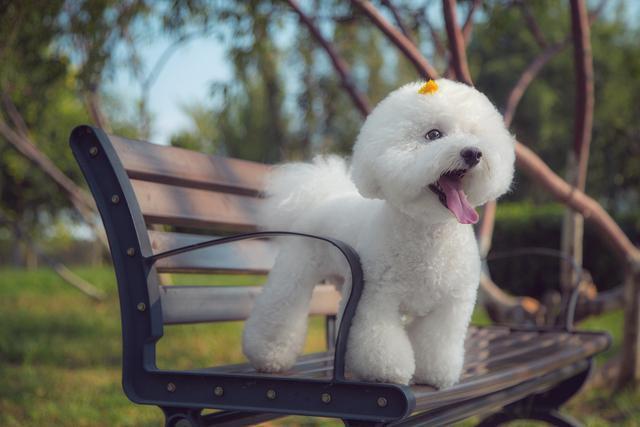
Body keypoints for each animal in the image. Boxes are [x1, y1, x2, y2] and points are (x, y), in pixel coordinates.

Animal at [240, 79, 516, 388]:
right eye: (433, 134)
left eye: (473, 134)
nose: (473, 152)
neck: (429, 234)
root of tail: (322, 196)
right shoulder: (375, 297)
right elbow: (379, 341)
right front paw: (386, 372)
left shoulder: (450, 305)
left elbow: (436, 342)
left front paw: (433, 374)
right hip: (296, 270)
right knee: (280, 309)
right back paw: (269, 356)